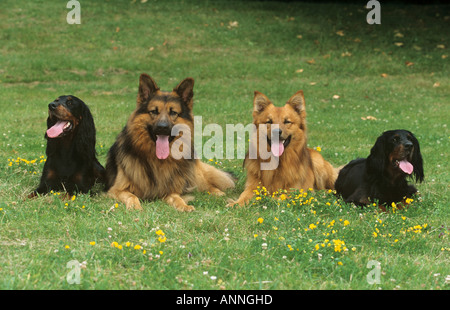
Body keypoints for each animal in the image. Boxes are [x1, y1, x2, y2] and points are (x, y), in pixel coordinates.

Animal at [105, 74, 236, 212]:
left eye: (173, 112)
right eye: (154, 111)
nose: (162, 127)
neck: (156, 160)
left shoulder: (170, 189)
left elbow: (177, 198)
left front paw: (184, 205)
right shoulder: (116, 190)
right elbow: (131, 196)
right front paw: (135, 206)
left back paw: (218, 193)